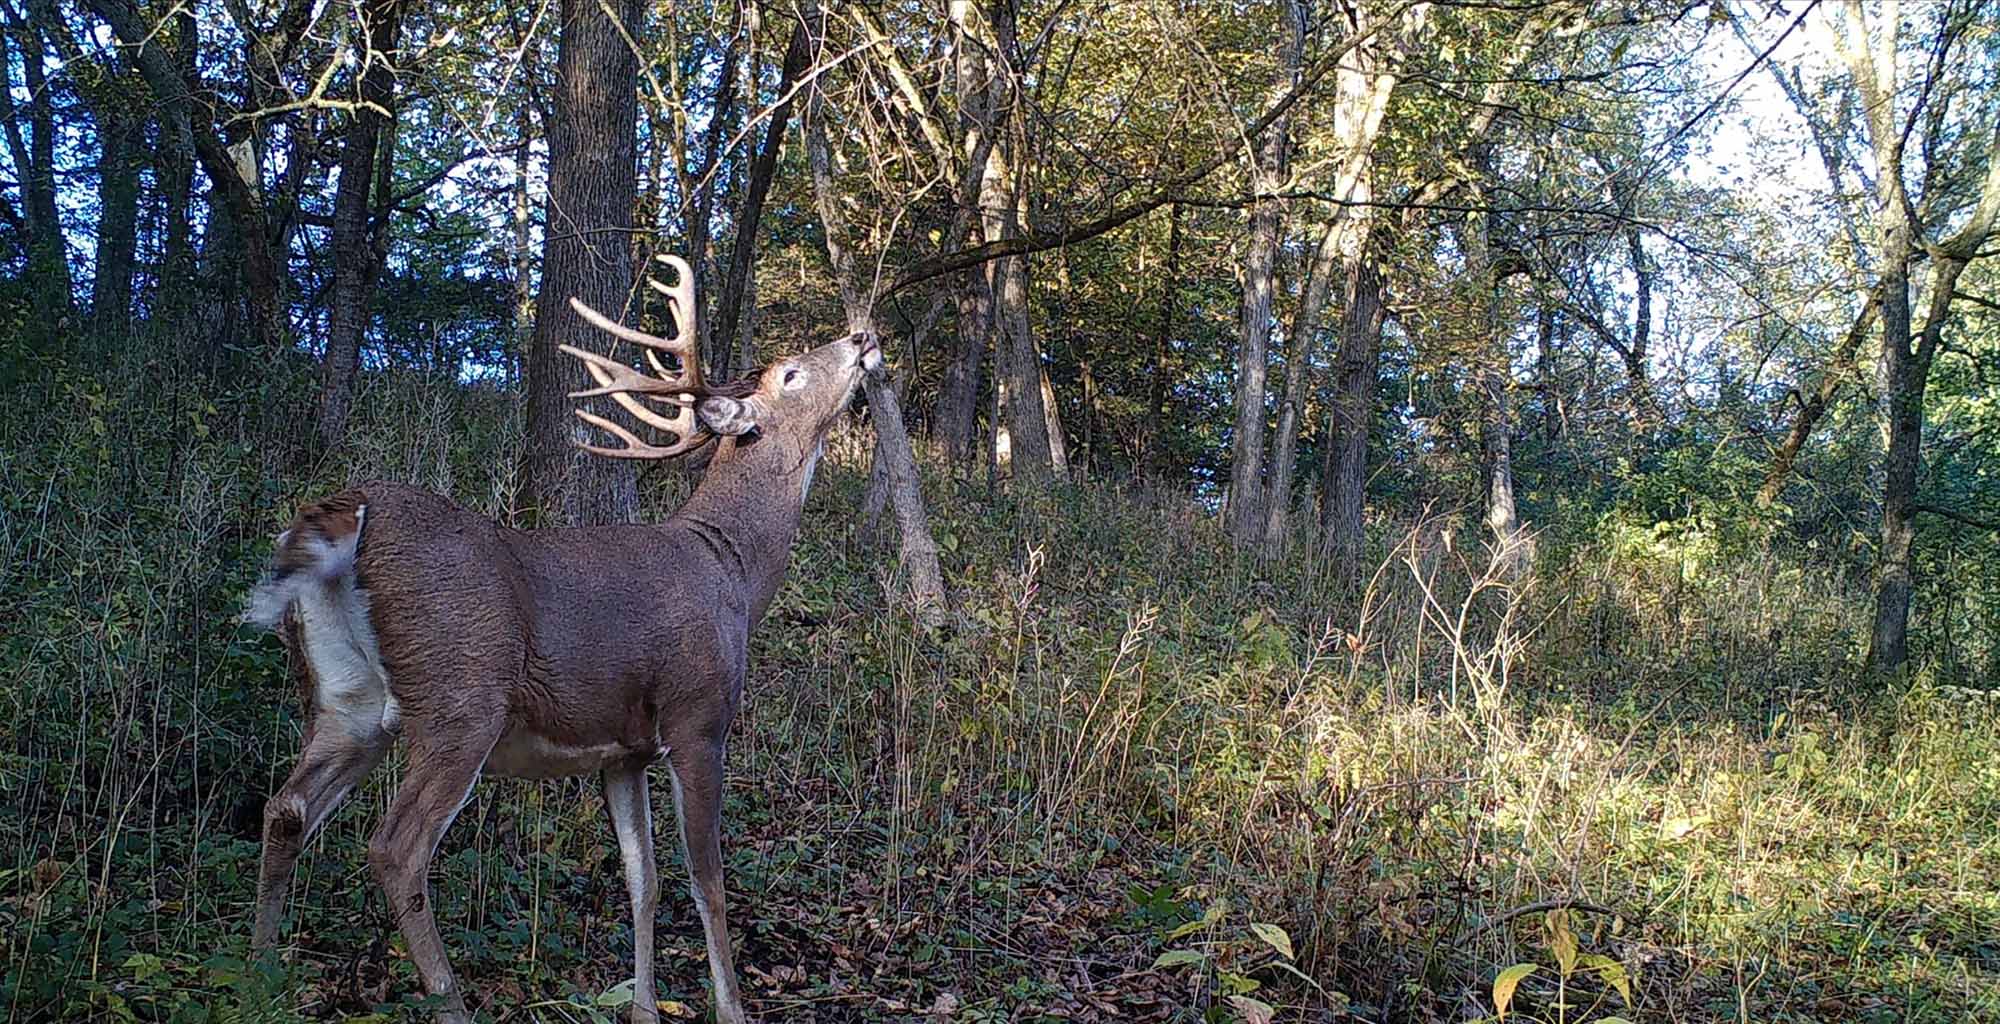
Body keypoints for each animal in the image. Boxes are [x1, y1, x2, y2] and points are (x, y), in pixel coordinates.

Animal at [242, 255, 880, 1024]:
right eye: (790, 374)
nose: (862, 337)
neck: (731, 568)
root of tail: (349, 508)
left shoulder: (623, 750)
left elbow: (644, 881)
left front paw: (642, 1009)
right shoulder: (697, 717)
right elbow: (708, 882)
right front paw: (731, 1010)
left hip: (346, 700)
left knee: (286, 809)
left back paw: (256, 974)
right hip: (462, 695)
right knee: (396, 849)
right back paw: (449, 1002)